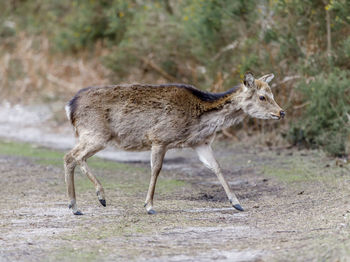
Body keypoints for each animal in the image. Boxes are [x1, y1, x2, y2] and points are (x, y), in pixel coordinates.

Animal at [64, 72, 286, 215]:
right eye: (262, 97)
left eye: (273, 95)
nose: (281, 112)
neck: (199, 121)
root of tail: (69, 106)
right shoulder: (159, 137)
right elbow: (156, 169)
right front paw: (149, 206)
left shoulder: (200, 143)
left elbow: (216, 167)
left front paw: (237, 203)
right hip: (96, 134)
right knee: (73, 156)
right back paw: (100, 196)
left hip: (91, 136)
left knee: (70, 158)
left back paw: (75, 207)